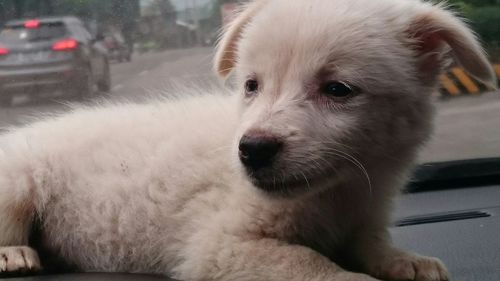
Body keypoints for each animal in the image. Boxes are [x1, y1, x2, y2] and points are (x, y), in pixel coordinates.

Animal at [0, 0, 494, 280]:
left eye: (338, 89)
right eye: (252, 85)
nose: (251, 150)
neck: (337, 192)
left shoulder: (362, 214)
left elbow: (371, 244)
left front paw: (405, 260)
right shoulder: (220, 246)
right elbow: (314, 267)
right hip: (18, 180)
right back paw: (15, 254)